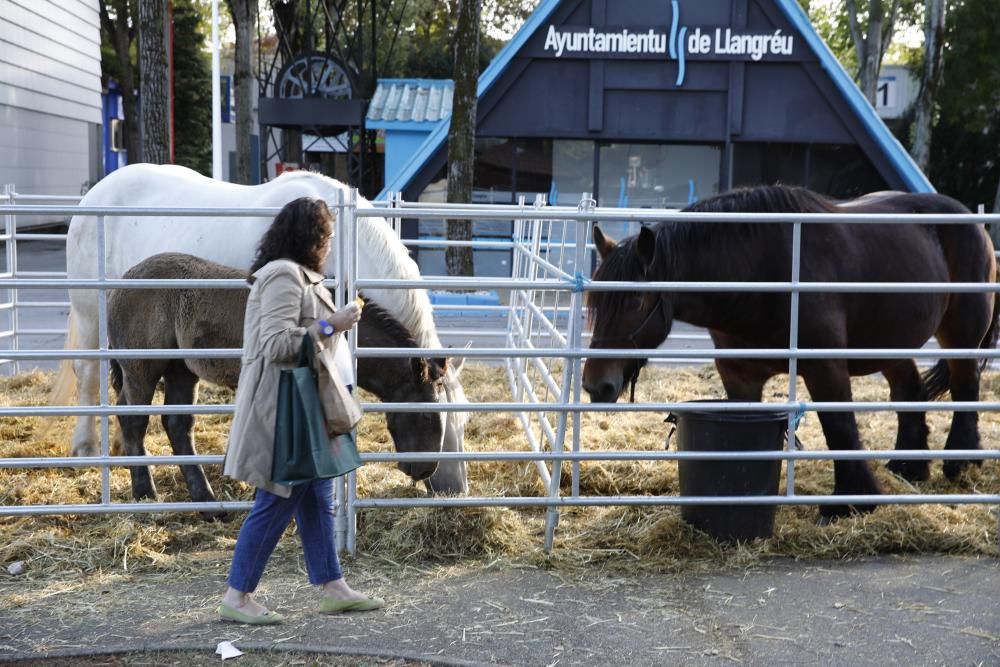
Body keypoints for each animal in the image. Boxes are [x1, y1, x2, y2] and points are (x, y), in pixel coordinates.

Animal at [56, 162, 470, 496]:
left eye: (463, 422)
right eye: (431, 417)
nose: (453, 488)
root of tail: (97, 193)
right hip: (93, 318)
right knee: (89, 377)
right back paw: (86, 449)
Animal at [584, 185, 996, 520]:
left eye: (634, 301)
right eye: (595, 303)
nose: (595, 386)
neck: (758, 273)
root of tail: (973, 222)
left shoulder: (824, 367)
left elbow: (839, 428)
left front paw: (851, 501)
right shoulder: (739, 376)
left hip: (960, 335)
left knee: (966, 387)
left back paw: (961, 461)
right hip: (891, 343)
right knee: (910, 392)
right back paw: (908, 467)